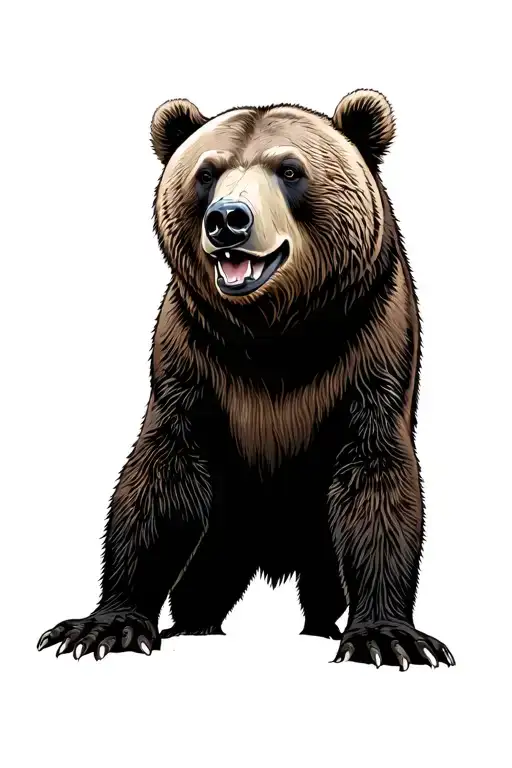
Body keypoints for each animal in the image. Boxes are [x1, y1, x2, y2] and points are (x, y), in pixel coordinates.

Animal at [38, 90, 455, 670]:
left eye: (290, 169)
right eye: (207, 172)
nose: (228, 219)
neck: (274, 335)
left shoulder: (370, 346)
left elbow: (376, 475)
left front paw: (387, 635)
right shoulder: (193, 359)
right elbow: (161, 477)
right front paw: (106, 624)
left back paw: (321, 624)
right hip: (225, 532)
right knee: (201, 583)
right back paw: (194, 625)